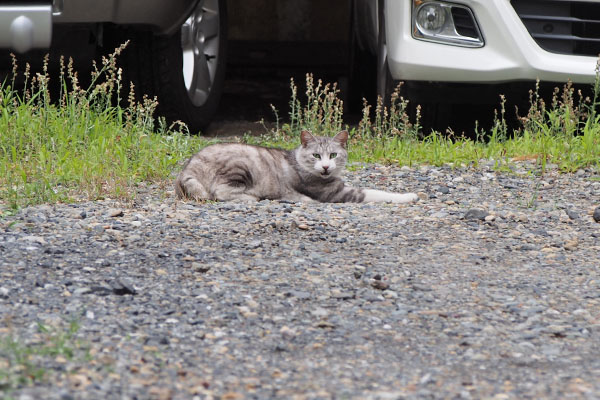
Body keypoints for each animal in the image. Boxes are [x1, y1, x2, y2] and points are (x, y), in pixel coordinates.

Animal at [173, 130, 418, 205]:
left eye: (333, 155)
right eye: (316, 155)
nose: (326, 166)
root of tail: (187, 169)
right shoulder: (338, 193)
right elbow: (377, 192)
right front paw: (409, 196)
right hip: (240, 165)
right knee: (220, 192)